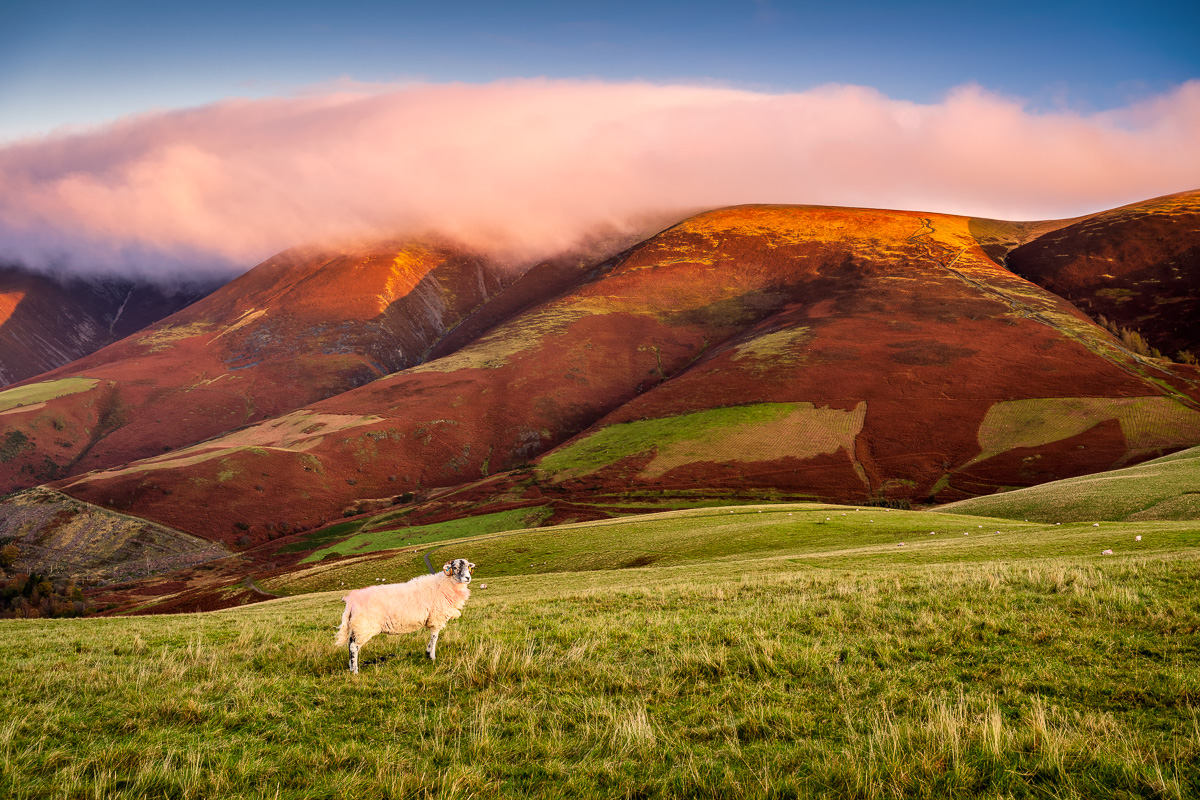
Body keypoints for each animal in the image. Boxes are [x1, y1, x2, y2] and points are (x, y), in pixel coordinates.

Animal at [336, 556, 475, 676]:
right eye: (455, 567)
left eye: (468, 566)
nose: (467, 578)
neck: (445, 583)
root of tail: (351, 599)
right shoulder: (436, 618)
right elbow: (434, 638)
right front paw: (432, 657)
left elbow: (431, 638)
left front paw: (427, 652)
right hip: (364, 626)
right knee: (354, 647)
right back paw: (355, 670)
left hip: (357, 626)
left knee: (350, 643)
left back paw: (350, 667)